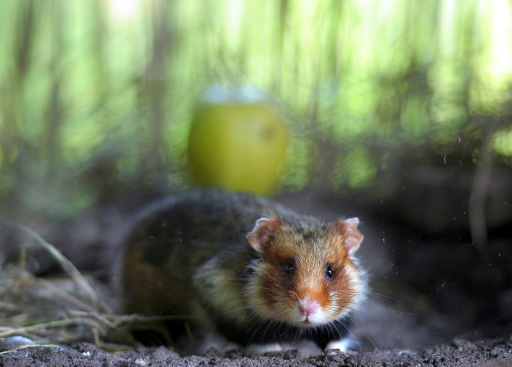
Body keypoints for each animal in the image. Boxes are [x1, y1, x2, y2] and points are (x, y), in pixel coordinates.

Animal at [119, 190, 368, 354]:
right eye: (288, 267)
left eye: (330, 271)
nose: (307, 309)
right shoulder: (213, 292)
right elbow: (255, 335)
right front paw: (279, 351)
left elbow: (334, 335)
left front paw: (344, 352)